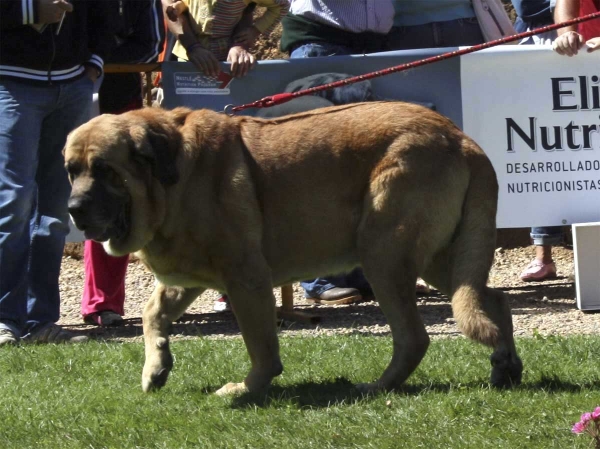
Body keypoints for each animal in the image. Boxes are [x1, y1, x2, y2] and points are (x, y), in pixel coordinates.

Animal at [65, 100, 524, 392]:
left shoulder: (246, 280)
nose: (73, 208)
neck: (173, 174)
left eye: (104, 169)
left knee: (414, 336)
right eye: (71, 170)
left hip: (384, 253)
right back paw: (505, 366)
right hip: (438, 257)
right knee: (492, 299)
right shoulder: (187, 278)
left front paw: (246, 389)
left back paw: (377, 386)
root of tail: (462, 139)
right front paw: (156, 367)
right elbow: (152, 314)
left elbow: (261, 345)